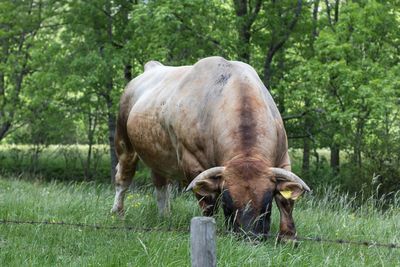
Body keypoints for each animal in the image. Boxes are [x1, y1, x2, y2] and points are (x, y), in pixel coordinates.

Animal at [111, 56, 310, 241]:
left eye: (266, 204)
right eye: (228, 206)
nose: (249, 237)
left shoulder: (283, 159)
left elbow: (286, 201)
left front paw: (288, 237)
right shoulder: (192, 163)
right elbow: (208, 202)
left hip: (157, 157)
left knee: (160, 185)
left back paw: (165, 217)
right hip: (124, 143)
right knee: (123, 177)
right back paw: (118, 214)